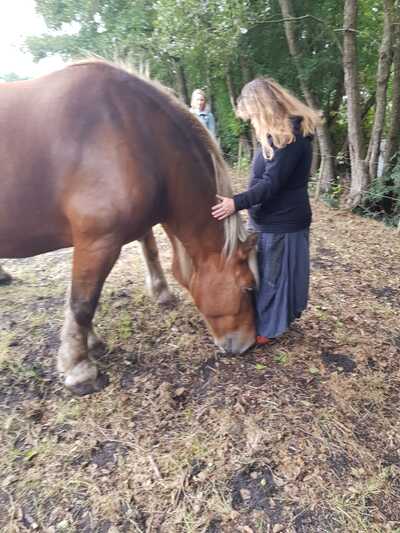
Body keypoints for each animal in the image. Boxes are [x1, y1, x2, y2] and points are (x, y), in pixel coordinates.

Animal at [0, 61, 258, 394]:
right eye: (248, 286)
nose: (248, 344)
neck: (130, 130)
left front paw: (90, 344)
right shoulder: (98, 241)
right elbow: (82, 302)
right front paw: (79, 368)